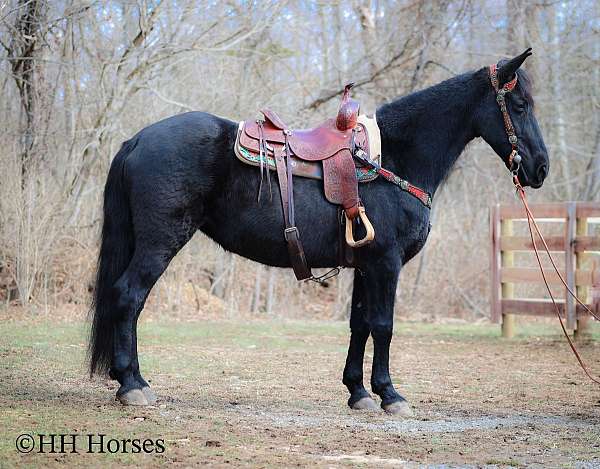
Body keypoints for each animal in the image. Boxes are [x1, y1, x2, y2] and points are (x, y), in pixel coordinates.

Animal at [88, 49, 548, 412]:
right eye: (519, 105)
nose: (541, 168)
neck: (392, 159)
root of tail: (137, 140)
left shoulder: (366, 266)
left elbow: (360, 324)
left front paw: (359, 392)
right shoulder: (386, 264)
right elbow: (384, 325)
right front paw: (390, 395)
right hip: (159, 243)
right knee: (128, 296)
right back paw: (133, 384)